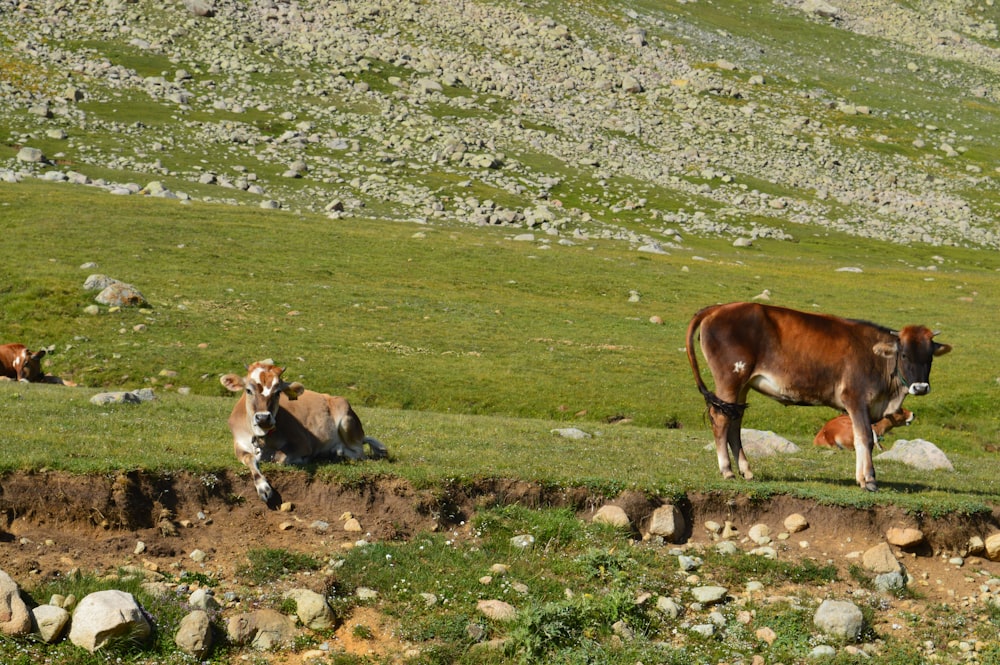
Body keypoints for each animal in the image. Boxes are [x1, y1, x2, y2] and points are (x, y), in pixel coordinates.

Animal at [222, 360, 386, 500]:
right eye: (248, 390)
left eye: (278, 392)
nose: (263, 417)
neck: (263, 439)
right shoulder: (239, 443)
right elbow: (250, 458)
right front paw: (263, 487)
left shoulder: (302, 442)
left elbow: (280, 458)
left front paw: (301, 460)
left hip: (346, 420)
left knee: (359, 453)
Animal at [688, 304, 952, 490]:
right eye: (904, 355)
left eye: (929, 357)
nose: (920, 387)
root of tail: (719, 308)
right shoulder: (855, 399)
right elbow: (865, 438)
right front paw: (869, 480)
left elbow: (860, 439)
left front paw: (861, 478)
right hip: (730, 378)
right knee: (720, 419)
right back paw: (727, 470)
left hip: (742, 386)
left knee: (735, 422)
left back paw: (746, 470)